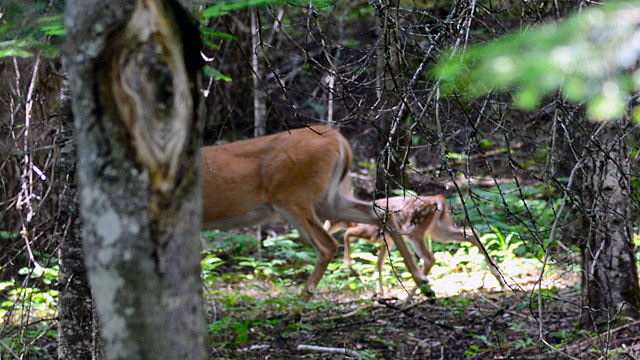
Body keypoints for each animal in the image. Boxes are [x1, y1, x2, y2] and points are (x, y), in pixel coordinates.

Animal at [202, 126, 428, 298]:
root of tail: (338, 139)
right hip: (329, 199)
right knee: (380, 213)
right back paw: (423, 284)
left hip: (292, 197)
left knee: (327, 245)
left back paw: (297, 308)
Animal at [324, 195, 504, 294]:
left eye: (328, 218)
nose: (325, 228)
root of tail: (438, 199)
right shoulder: (387, 239)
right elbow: (380, 263)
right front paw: (380, 292)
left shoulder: (371, 233)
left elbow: (347, 236)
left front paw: (350, 268)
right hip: (438, 229)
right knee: (473, 234)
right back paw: (498, 278)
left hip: (414, 228)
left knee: (429, 257)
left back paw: (412, 294)